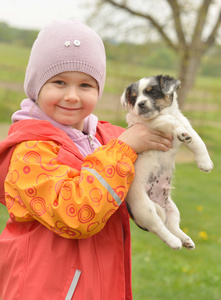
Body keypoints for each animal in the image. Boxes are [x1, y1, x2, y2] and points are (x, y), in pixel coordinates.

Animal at [121, 75, 213, 251]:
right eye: (134, 98)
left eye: (152, 92)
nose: (140, 104)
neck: (168, 112)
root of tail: (157, 201)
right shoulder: (154, 123)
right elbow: (168, 122)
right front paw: (180, 131)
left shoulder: (188, 126)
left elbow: (198, 142)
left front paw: (205, 163)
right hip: (145, 209)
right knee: (159, 227)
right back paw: (174, 242)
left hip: (172, 209)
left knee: (171, 225)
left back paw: (186, 240)